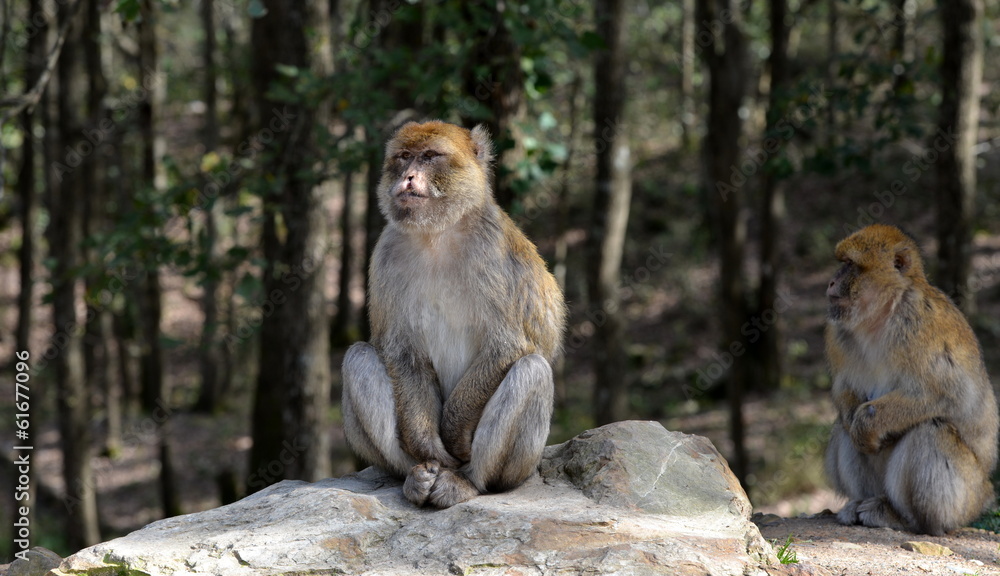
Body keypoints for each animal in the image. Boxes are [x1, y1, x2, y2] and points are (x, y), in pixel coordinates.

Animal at [341, 120, 566, 509]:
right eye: (404, 157)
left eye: (431, 156)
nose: (409, 177)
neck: (437, 234)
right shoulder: (385, 251)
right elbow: (402, 352)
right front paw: (429, 444)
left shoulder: (492, 249)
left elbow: (506, 346)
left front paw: (454, 433)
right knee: (357, 356)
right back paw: (416, 475)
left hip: (521, 468)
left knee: (532, 369)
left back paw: (467, 481)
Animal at [824, 224, 999, 535]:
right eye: (842, 263)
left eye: (850, 265)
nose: (831, 283)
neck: (882, 316)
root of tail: (985, 492)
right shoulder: (837, 333)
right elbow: (845, 389)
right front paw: (857, 420)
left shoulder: (919, 322)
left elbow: (951, 395)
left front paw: (868, 424)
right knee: (845, 427)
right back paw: (862, 502)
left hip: (965, 498)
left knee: (930, 430)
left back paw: (905, 518)